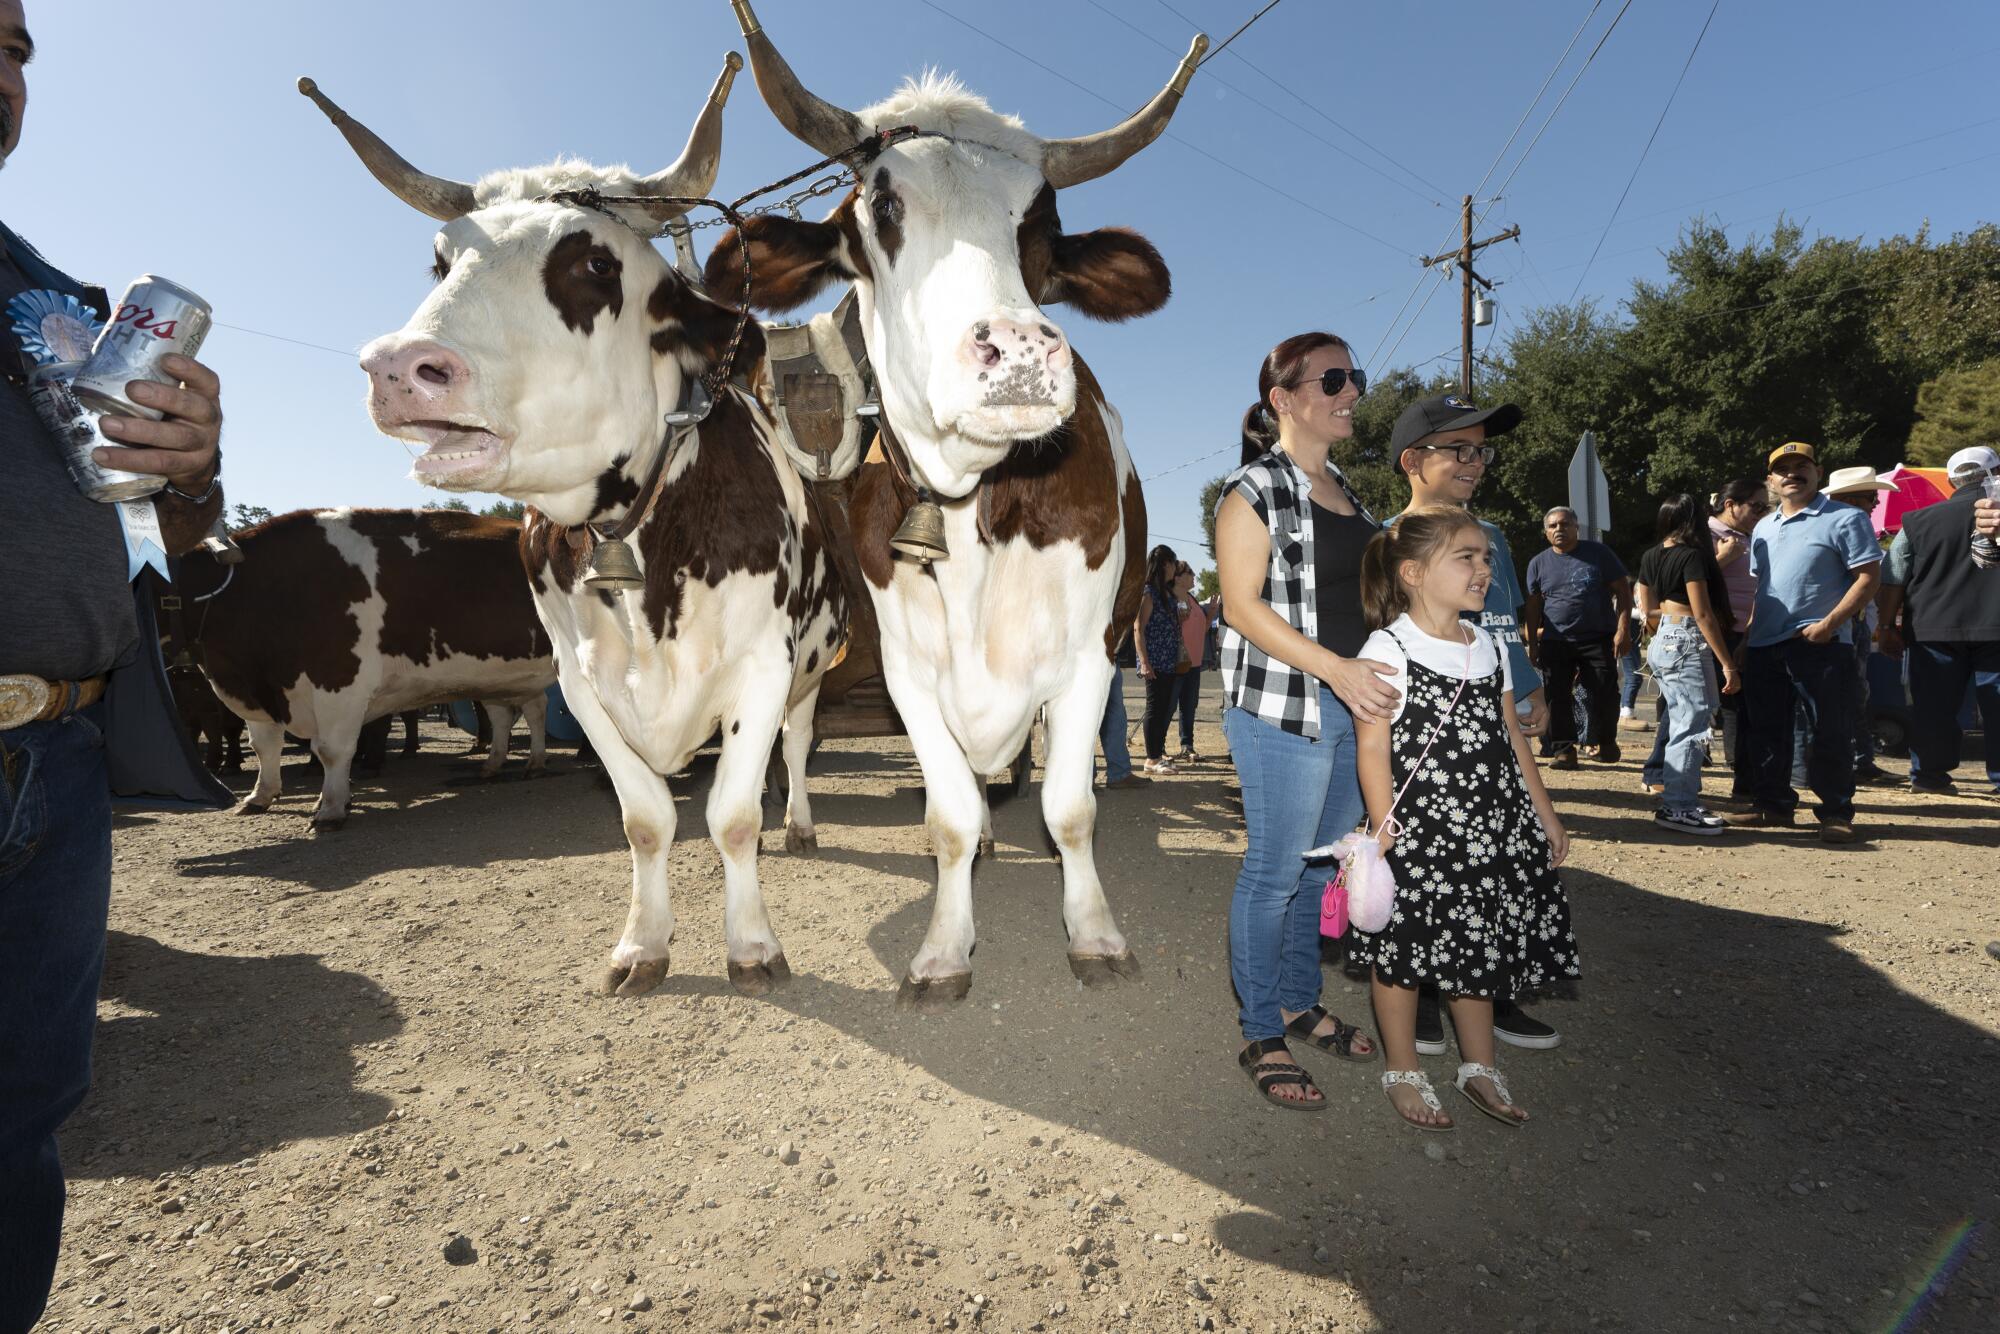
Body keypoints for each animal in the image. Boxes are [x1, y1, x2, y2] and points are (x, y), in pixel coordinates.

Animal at [178, 508, 556, 828]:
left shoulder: (338, 683)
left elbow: (331, 750)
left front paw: (331, 808)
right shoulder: (256, 692)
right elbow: (264, 746)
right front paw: (260, 796)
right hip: (502, 678)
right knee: (522, 712)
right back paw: (510, 764)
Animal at [300, 54, 848, 1000]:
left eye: (593, 260)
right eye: (439, 259)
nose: (400, 369)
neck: (634, 535)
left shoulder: (762, 664)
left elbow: (735, 815)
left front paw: (751, 946)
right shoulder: (578, 679)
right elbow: (645, 818)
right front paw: (642, 945)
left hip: (812, 666)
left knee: (799, 744)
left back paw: (803, 824)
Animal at [712, 0, 1192, 1000]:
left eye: (1042, 226)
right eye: (880, 209)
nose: (1018, 351)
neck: (978, 512)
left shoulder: (1090, 659)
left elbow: (1070, 808)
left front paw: (1094, 936)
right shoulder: (907, 670)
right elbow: (949, 817)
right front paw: (944, 947)